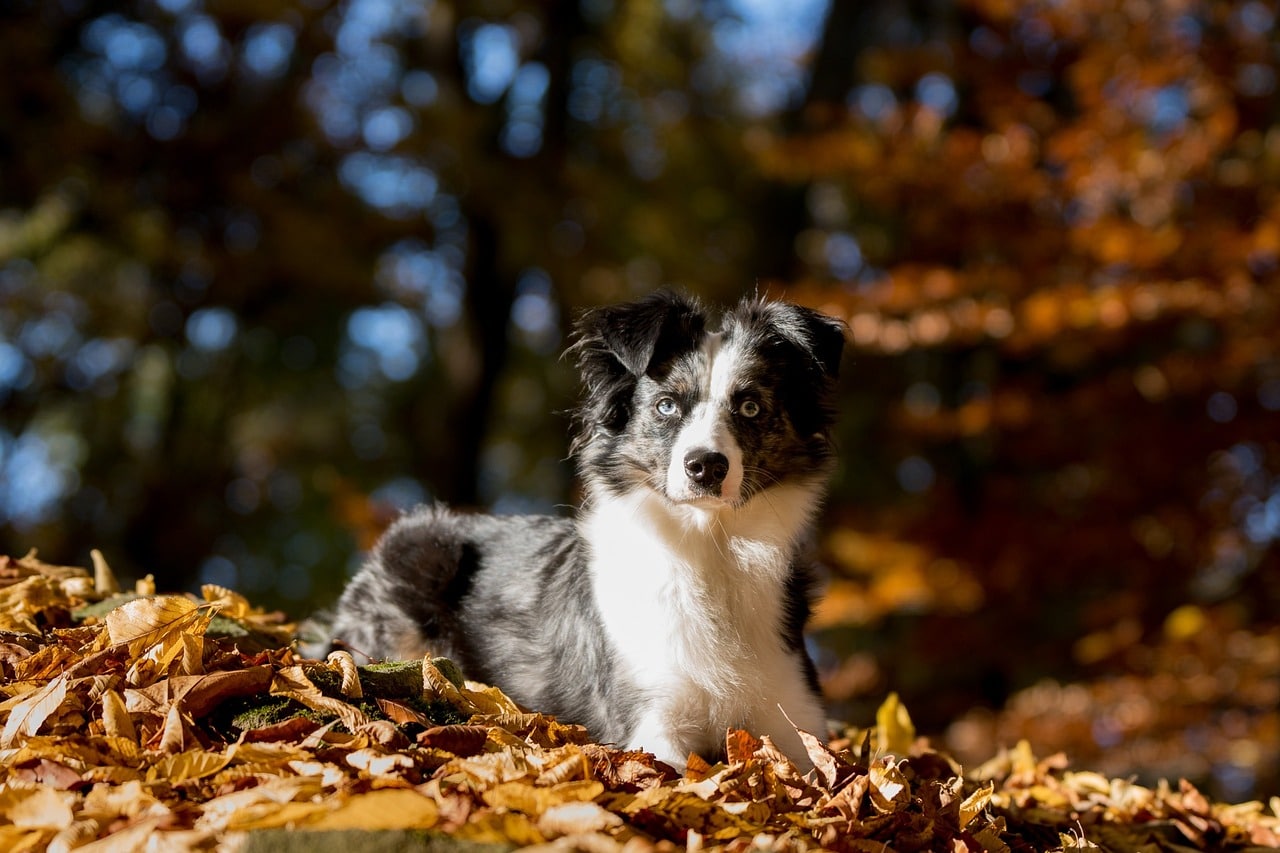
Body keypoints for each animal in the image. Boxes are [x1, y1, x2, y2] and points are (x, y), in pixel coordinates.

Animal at [330, 290, 849, 763]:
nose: (706, 466)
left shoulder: (797, 717)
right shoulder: (650, 720)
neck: (708, 545)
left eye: (750, 408)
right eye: (665, 406)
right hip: (425, 550)